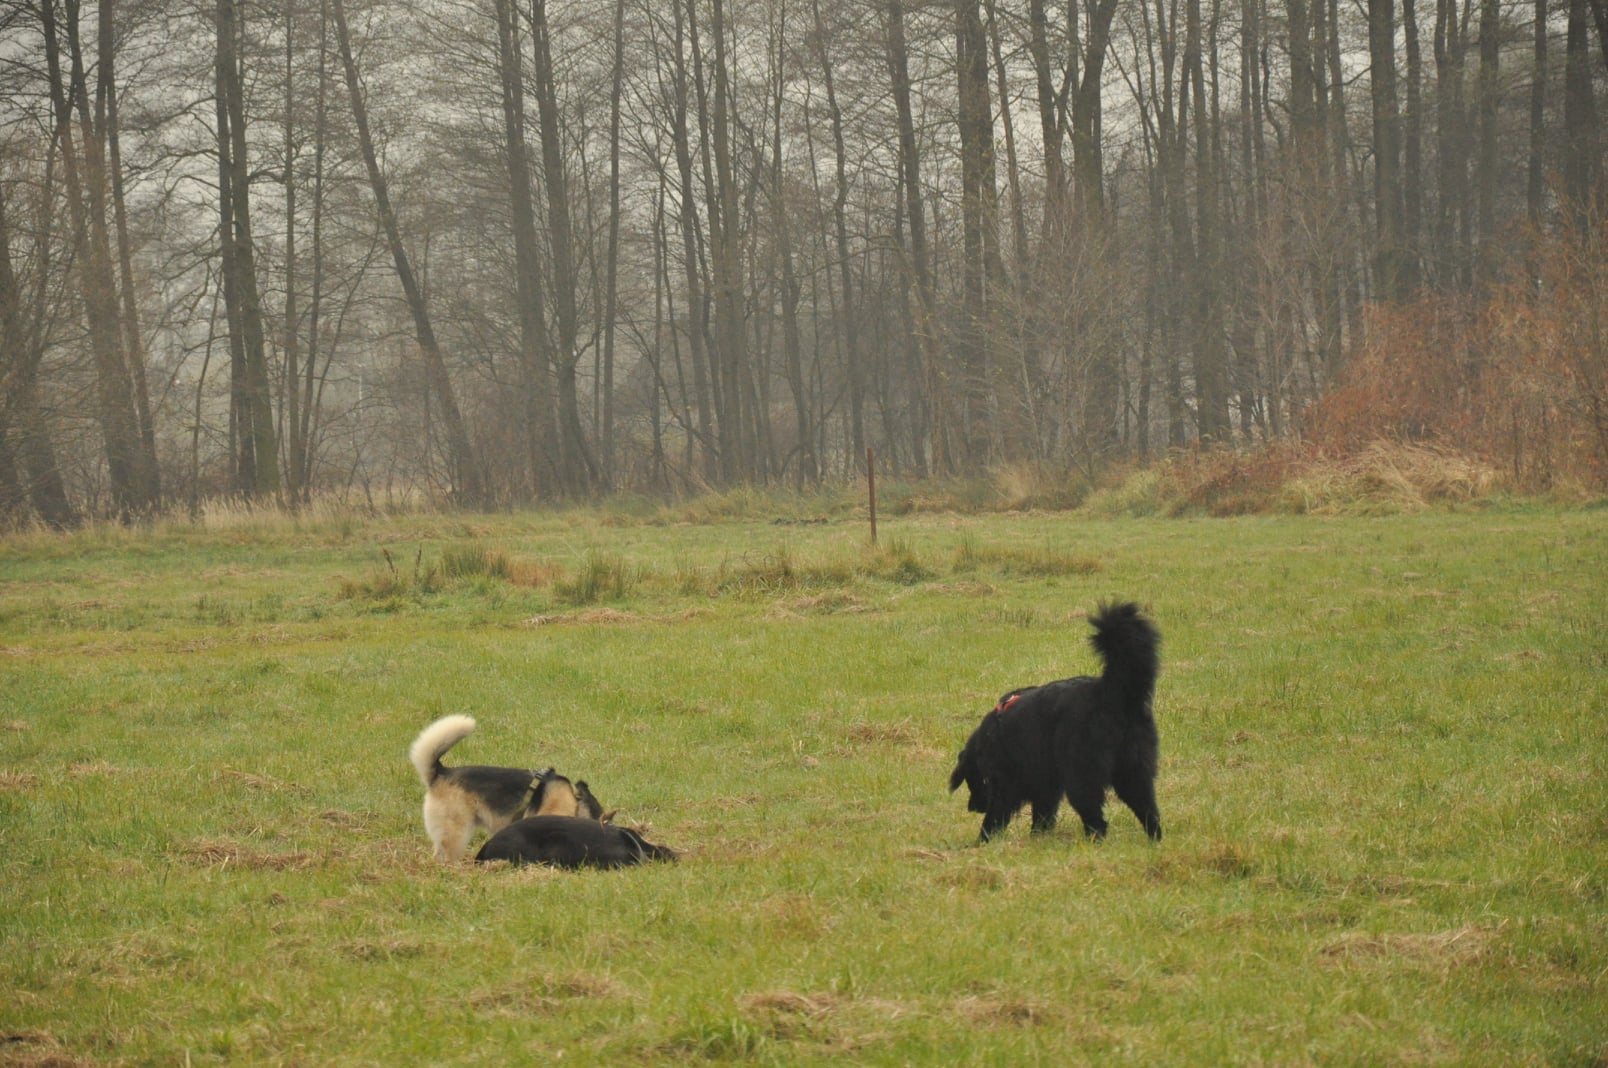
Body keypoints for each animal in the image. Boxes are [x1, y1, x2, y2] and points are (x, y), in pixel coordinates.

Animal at [949, 601, 1162, 843]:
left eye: (971, 781)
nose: (972, 808)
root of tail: (1110, 692)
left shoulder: (1005, 784)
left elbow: (995, 816)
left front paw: (981, 843)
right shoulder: (1046, 787)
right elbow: (1042, 815)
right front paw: (1037, 839)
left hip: (1082, 776)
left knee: (1097, 819)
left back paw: (1093, 842)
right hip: (1134, 771)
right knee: (1150, 812)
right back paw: (1154, 842)